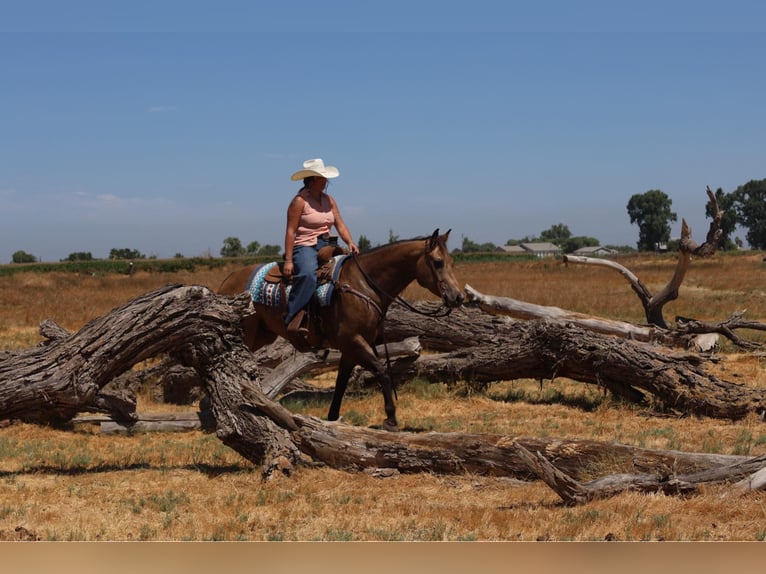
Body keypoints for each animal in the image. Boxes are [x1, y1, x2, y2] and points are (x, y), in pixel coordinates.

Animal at [219, 230, 464, 432]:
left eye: (451, 262)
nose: (458, 297)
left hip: (262, 335)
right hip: (246, 334)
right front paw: (391, 420)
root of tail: (228, 279)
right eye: (438, 262)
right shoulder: (353, 340)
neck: (363, 284)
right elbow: (382, 371)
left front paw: (332, 420)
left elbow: (341, 383)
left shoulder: (351, 349)